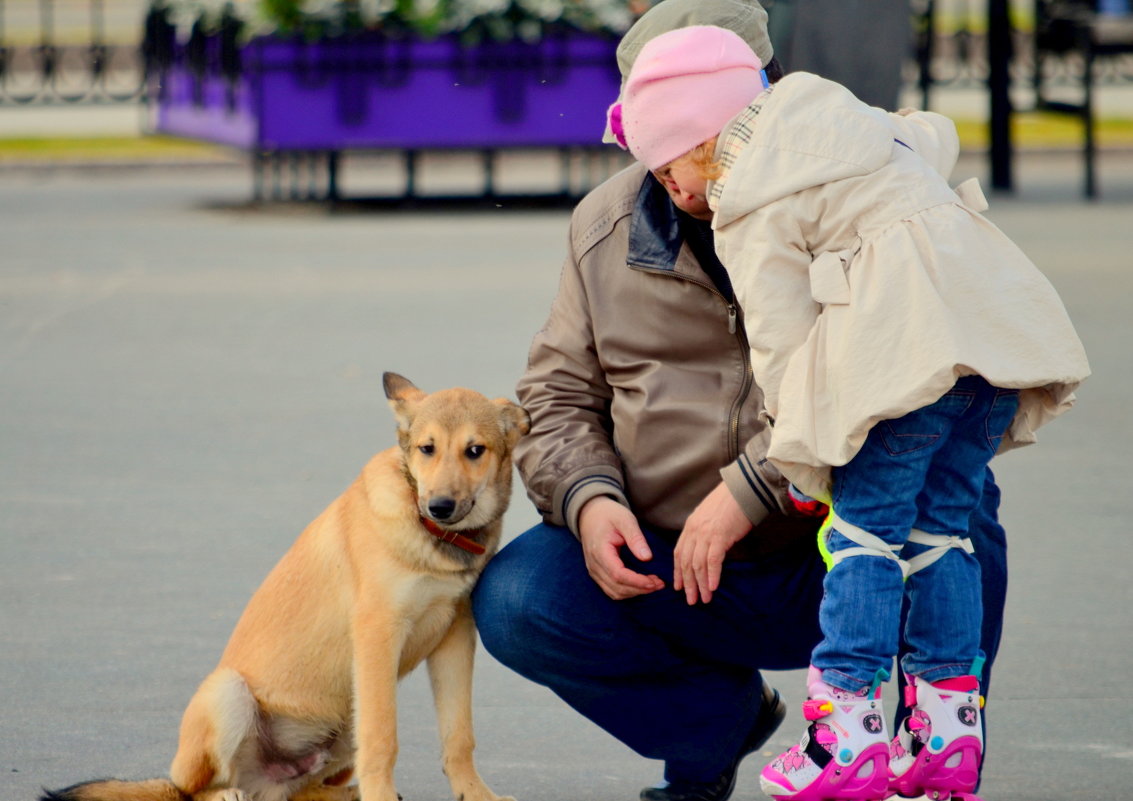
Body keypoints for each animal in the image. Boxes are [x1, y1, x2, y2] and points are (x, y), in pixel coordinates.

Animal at [39, 373, 525, 801]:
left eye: (475, 451)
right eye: (427, 449)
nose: (439, 506)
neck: (432, 537)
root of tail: (263, 779)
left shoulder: (453, 637)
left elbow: (458, 737)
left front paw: (475, 794)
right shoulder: (378, 636)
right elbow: (384, 738)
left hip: (342, 718)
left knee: (297, 791)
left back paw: (339, 794)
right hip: (230, 692)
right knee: (193, 791)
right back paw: (228, 794)